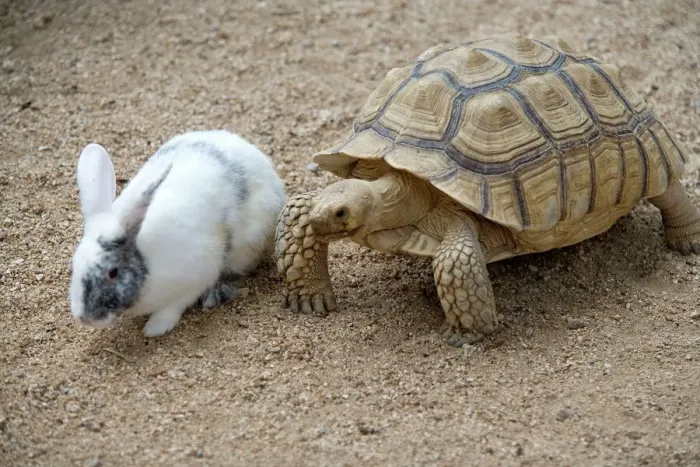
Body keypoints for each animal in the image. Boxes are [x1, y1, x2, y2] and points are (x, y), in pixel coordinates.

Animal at [69, 130, 287, 337]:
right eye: (74, 264)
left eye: (112, 272)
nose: (83, 318)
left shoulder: (196, 278)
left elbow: (173, 307)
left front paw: (155, 328)